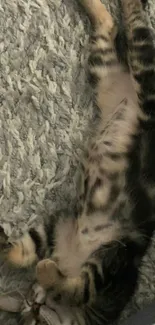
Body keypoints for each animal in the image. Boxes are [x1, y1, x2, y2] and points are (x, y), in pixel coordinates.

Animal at [0, 0, 155, 322]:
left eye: (35, 319)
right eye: (28, 309)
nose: (34, 303)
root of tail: (124, 88)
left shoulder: (111, 264)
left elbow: (76, 287)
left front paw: (49, 273)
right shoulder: (58, 226)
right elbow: (28, 247)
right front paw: (8, 248)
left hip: (146, 85)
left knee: (137, 30)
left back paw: (130, 4)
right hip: (102, 65)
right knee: (109, 28)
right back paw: (90, 4)